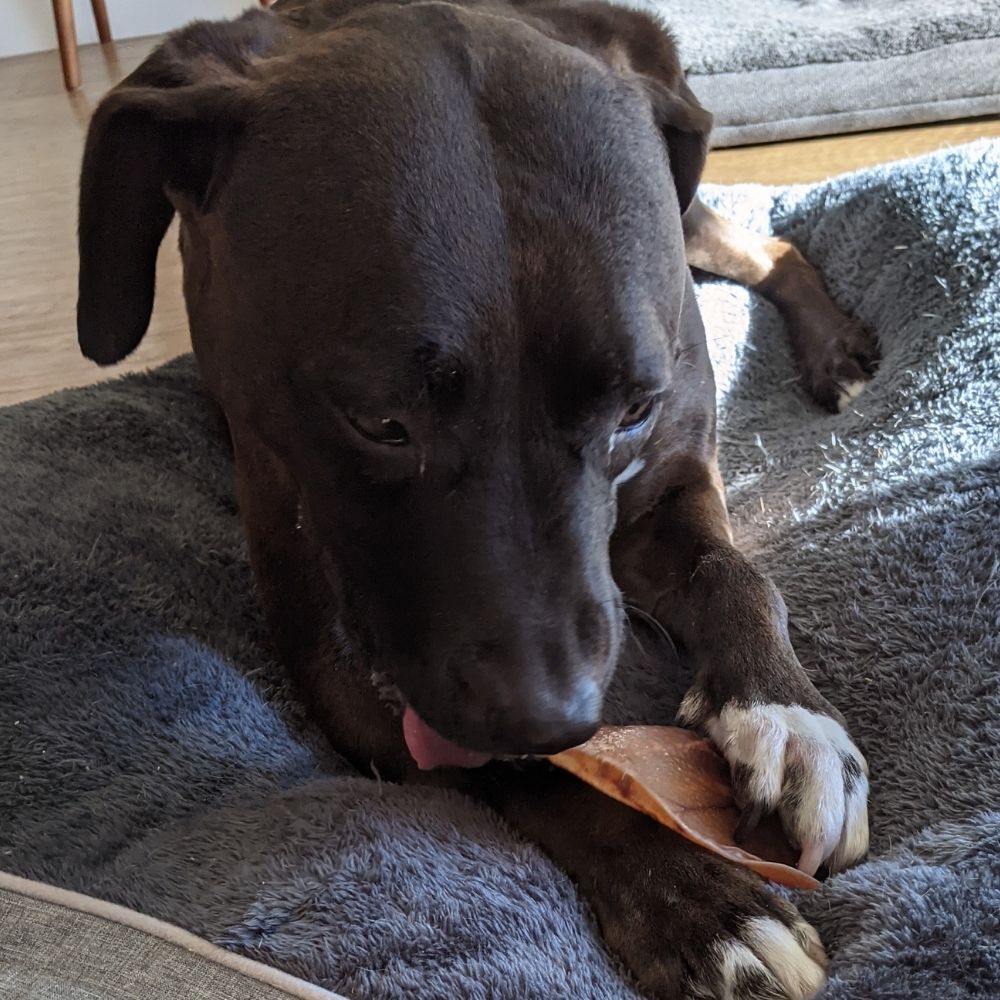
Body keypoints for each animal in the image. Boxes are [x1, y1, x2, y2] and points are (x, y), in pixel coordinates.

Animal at [76, 3, 876, 996]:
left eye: (635, 409)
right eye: (379, 420)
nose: (556, 715)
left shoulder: (671, 478)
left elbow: (737, 574)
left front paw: (791, 717)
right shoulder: (343, 660)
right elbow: (536, 776)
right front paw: (703, 906)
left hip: (684, 213)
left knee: (772, 249)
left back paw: (834, 349)